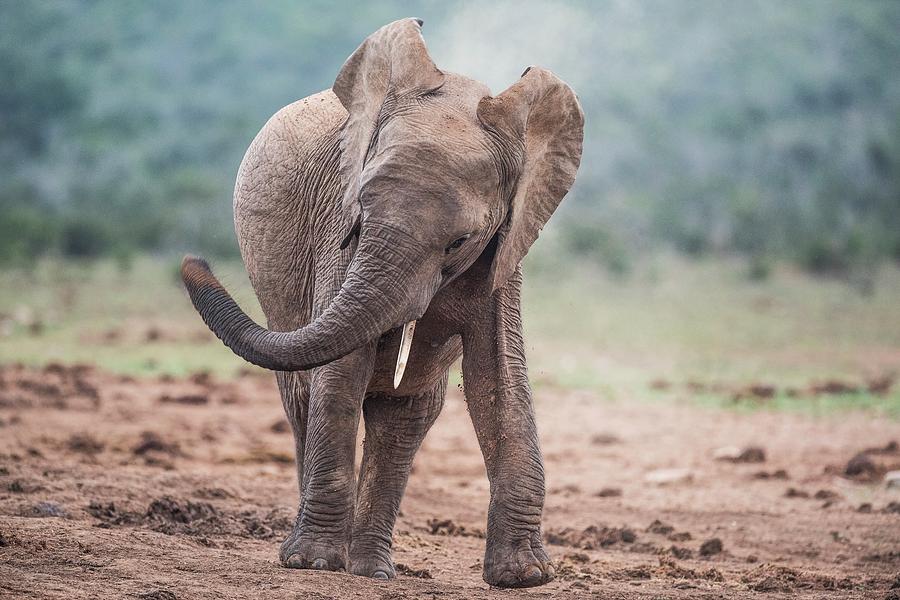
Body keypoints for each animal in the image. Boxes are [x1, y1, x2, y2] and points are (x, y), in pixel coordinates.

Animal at [183, 17, 584, 584]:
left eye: (459, 241)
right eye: (362, 207)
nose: (192, 262)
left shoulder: (505, 250)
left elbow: (500, 378)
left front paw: (525, 576)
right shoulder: (338, 230)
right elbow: (341, 373)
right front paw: (311, 563)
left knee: (405, 417)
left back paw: (371, 569)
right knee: (305, 396)